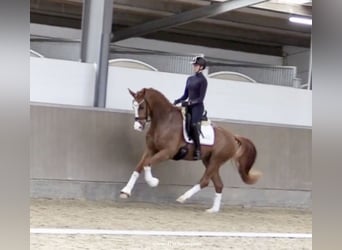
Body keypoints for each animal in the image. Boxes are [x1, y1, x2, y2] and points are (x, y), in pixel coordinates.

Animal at [119, 87, 260, 212]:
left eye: (141, 107)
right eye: (133, 107)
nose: (137, 126)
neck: (165, 121)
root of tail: (232, 136)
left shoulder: (167, 152)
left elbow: (147, 164)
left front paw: (153, 182)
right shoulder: (150, 150)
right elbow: (138, 167)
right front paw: (125, 191)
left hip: (216, 160)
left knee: (205, 181)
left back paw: (183, 197)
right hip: (209, 161)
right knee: (218, 184)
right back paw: (213, 210)